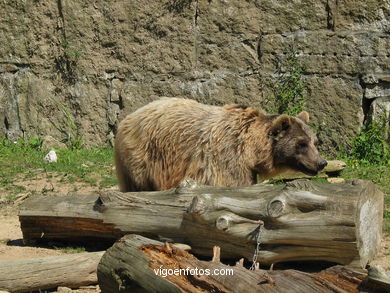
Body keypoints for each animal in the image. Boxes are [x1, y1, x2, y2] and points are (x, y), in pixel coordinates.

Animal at [114, 97, 328, 190]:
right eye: (301, 143)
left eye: (314, 141)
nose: (321, 162)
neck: (251, 150)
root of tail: (128, 118)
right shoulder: (228, 155)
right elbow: (233, 183)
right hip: (144, 156)